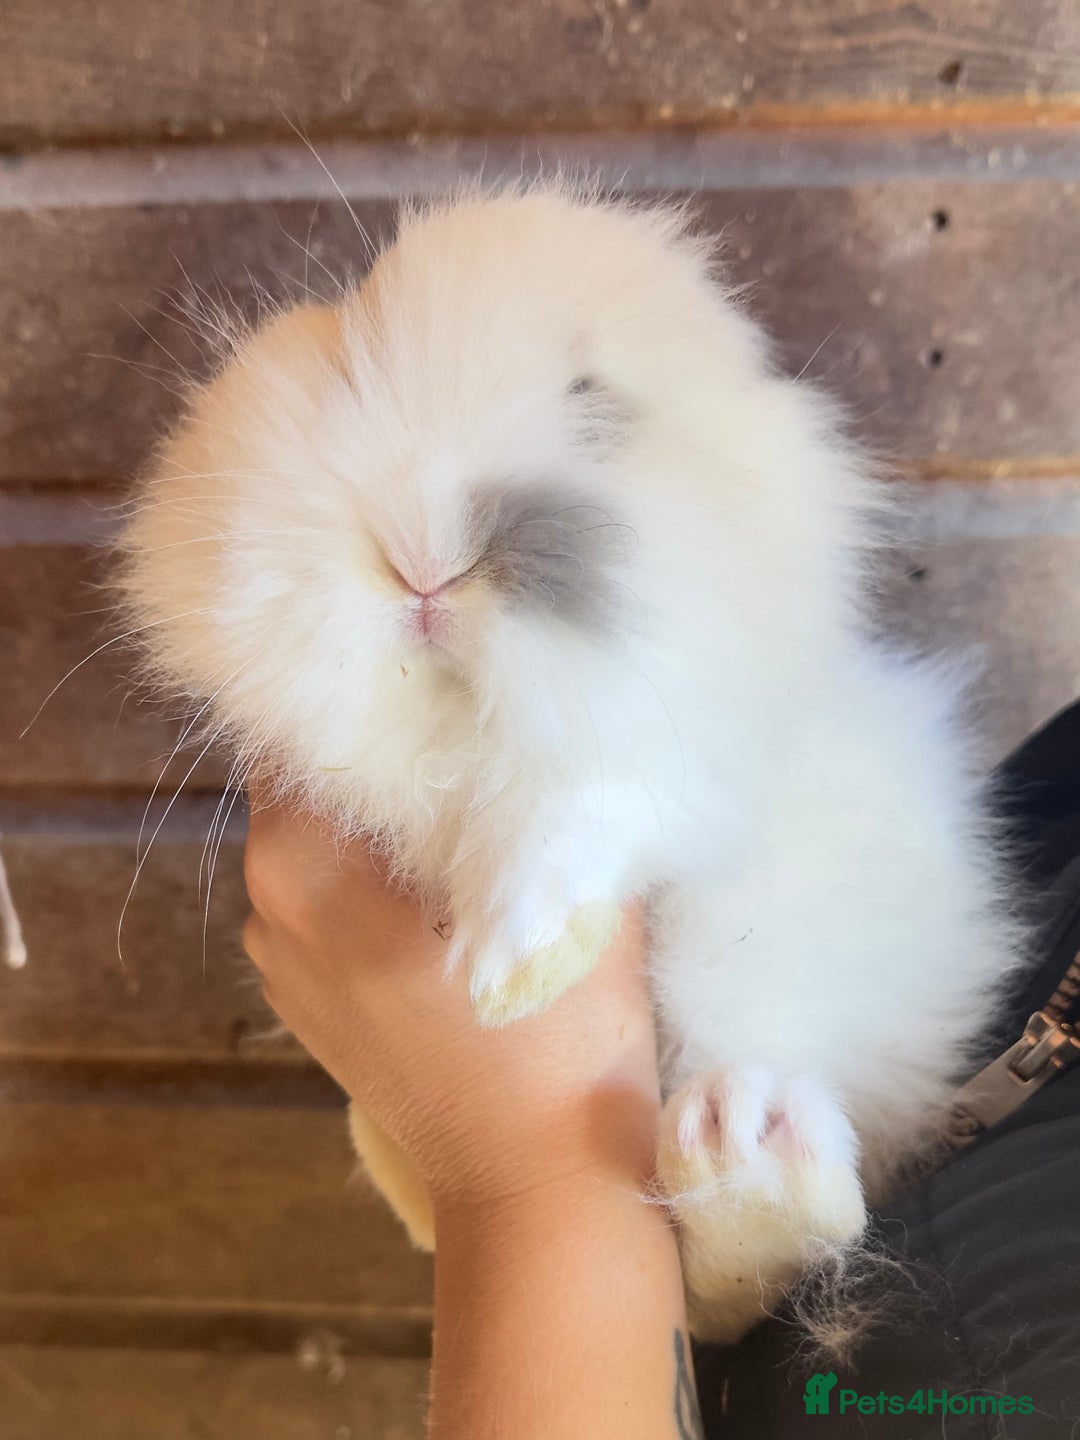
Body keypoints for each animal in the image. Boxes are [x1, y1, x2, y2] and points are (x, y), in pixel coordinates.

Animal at [119, 184, 1020, 1342]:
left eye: (596, 404)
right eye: (355, 367)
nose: (423, 563)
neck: (461, 727)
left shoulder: (692, 751)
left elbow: (584, 805)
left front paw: (516, 965)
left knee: (731, 1279)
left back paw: (749, 1152)